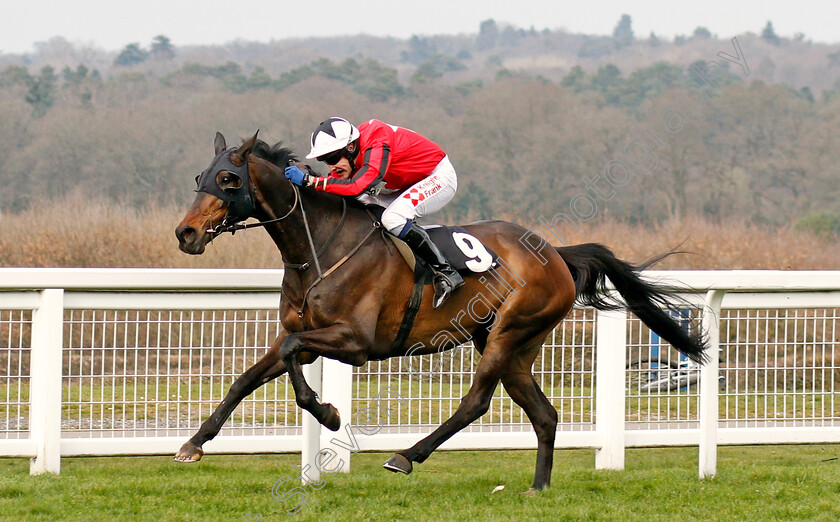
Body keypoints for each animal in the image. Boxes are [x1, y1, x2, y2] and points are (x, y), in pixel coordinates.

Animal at [174, 132, 704, 490]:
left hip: (509, 332)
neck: (319, 246)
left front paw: (328, 413)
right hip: (514, 345)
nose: (186, 233)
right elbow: (252, 374)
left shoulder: (355, 343)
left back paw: (407, 455)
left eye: (228, 179)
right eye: (199, 177)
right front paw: (194, 443)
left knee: (476, 402)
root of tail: (554, 252)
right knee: (545, 414)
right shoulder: (309, 336)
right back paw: (538, 487)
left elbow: (290, 353)